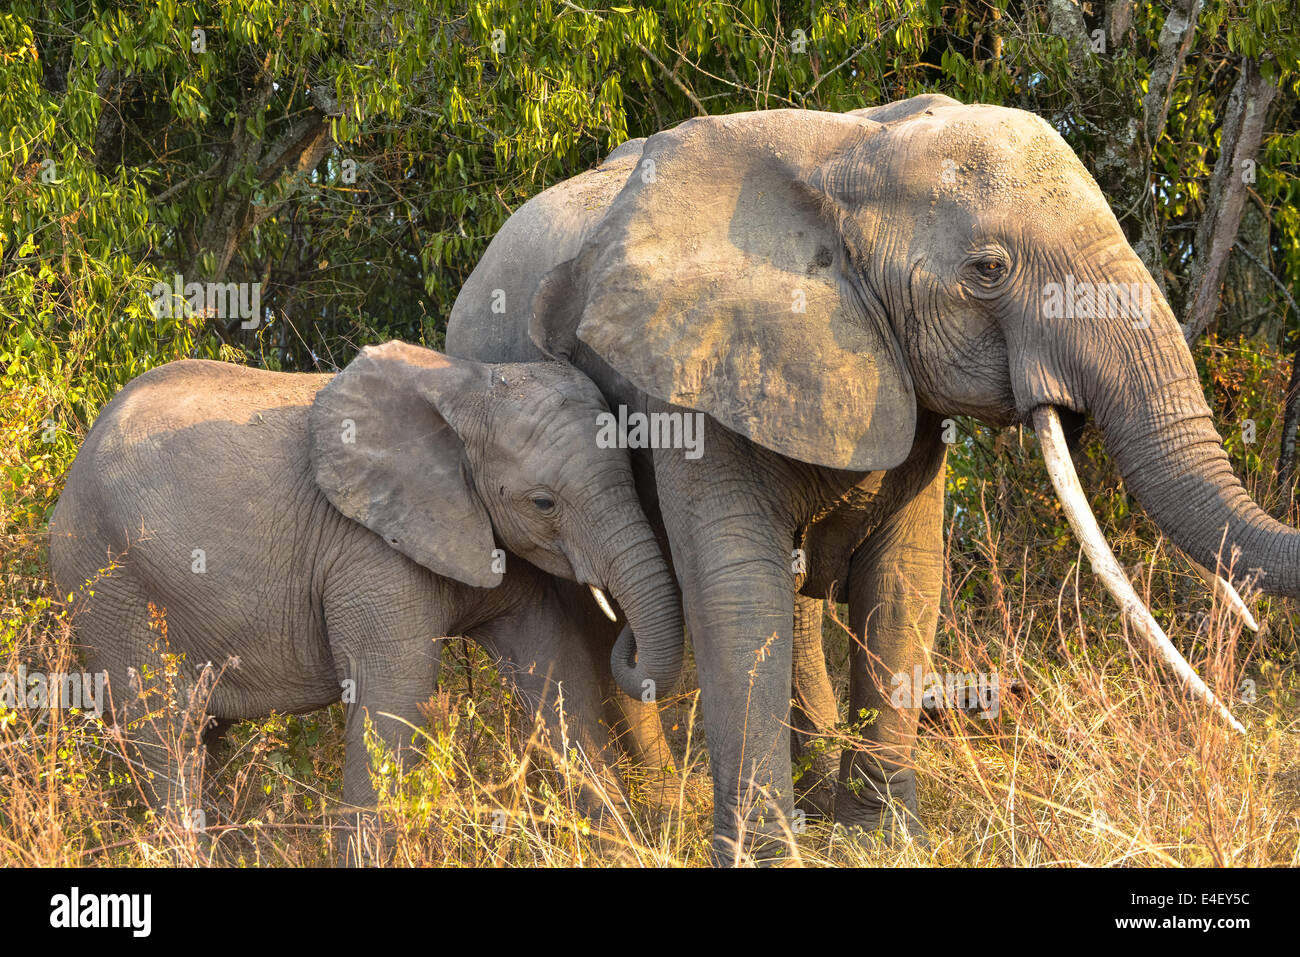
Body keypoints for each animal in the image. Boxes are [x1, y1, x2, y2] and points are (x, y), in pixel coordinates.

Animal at [47, 340, 686, 847]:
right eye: (544, 503)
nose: (624, 630)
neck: (471, 385)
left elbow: (557, 674)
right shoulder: (370, 552)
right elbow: (393, 698)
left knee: (201, 739)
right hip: (107, 583)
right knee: (167, 735)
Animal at [444, 93, 1289, 863]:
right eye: (989, 270)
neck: (851, 154)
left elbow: (904, 575)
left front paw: (884, 840)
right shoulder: (687, 377)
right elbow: (735, 587)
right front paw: (767, 857)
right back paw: (653, 819)